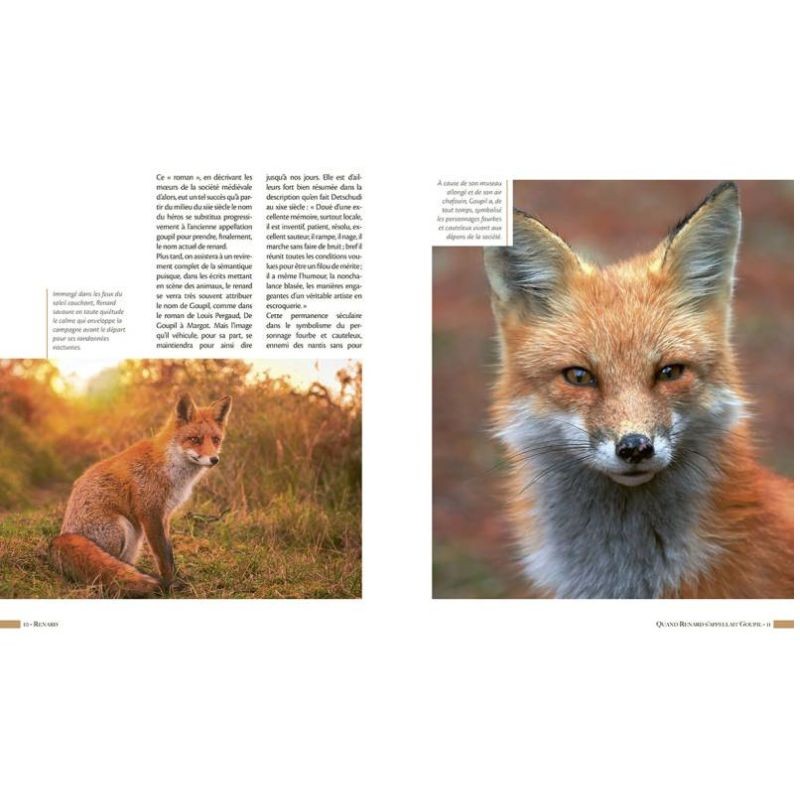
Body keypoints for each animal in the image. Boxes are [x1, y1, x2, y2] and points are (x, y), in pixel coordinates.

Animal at [49, 393, 232, 596]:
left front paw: (176, 579)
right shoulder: (150, 513)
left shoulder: (165, 515)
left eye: (215, 440)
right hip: (123, 527)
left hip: (135, 535)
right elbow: (163, 557)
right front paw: (171, 585)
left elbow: (169, 553)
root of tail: (61, 536)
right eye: (195, 439)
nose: (214, 459)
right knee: (106, 569)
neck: (170, 467)